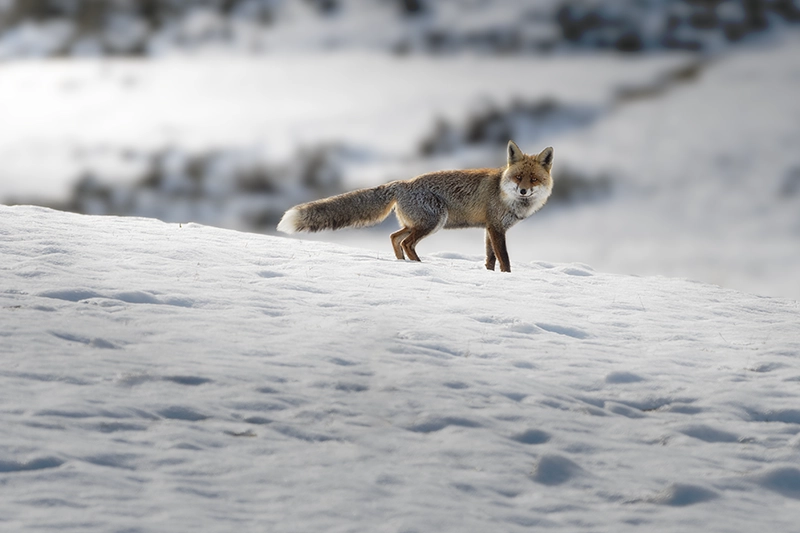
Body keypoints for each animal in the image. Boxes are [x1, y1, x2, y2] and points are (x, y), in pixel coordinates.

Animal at [277, 140, 553, 272]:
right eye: (518, 177)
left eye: (534, 179)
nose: (523, 190)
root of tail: (402, 183)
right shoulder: (496, 228)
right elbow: (504, 259)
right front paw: (508, 278)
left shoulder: (490, 228)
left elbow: (490, 259)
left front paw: (490, 275)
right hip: (433, 221)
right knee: (406, 243)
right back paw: (419, 265)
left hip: (415, 223)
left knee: (394, 236)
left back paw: (403, 264)